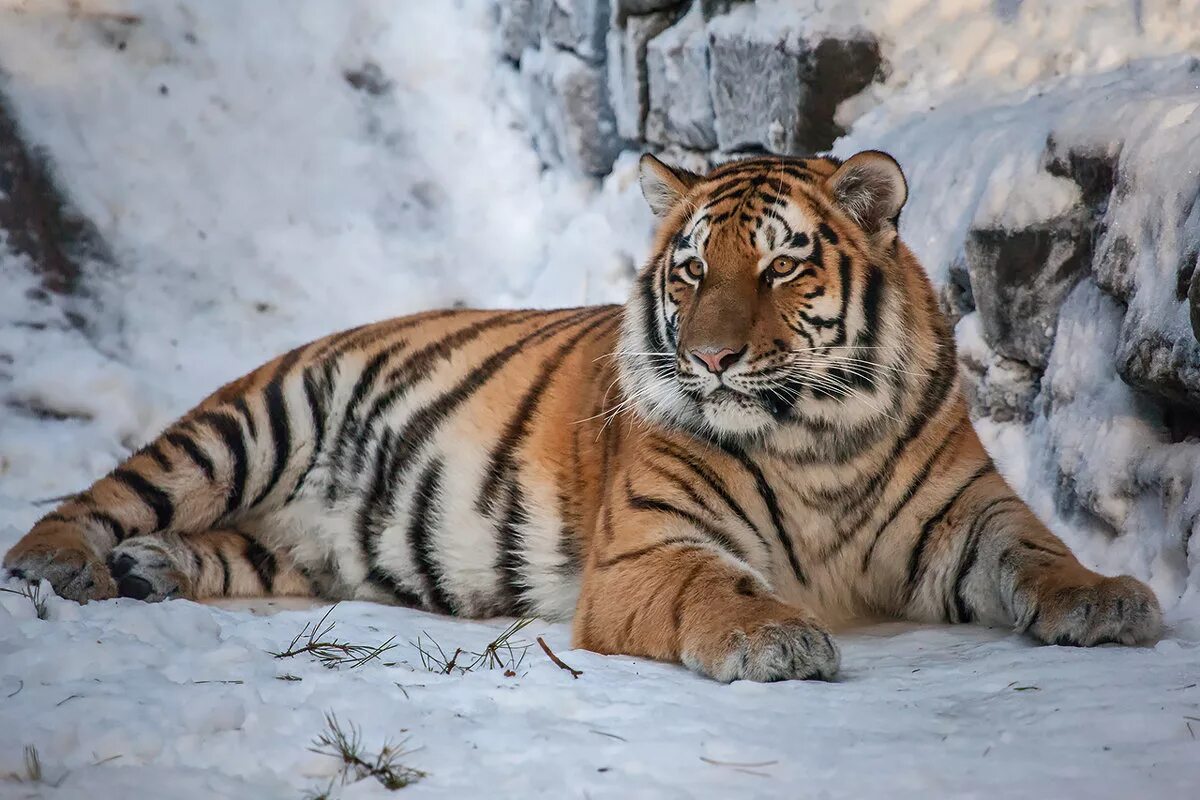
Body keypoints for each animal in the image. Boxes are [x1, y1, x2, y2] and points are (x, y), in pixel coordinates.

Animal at [2, 149, 1161, 681]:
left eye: (781, 264)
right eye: (692, 270)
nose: (712, 357)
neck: (815, 435)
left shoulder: (968, 514)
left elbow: (1038, 553)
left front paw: (1107, 600)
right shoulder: (649, 549)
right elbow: (717, 587)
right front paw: (776, 636)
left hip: (302, 545)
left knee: (234, 549)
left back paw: (154, 567)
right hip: (249, 421)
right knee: (100, 495)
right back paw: (62, 565)